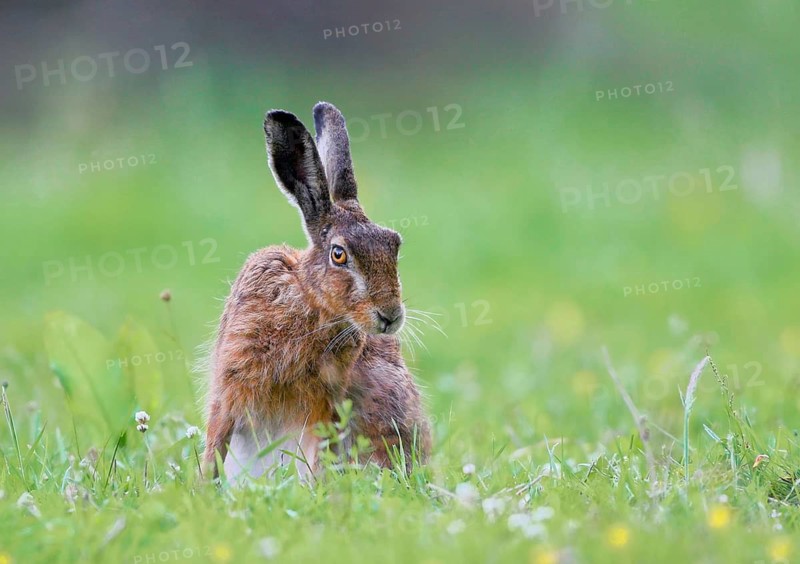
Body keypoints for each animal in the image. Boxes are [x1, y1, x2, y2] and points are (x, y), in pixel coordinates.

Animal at [203, 102, 431, 481]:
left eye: (394, 245)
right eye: (338, 254)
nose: (390, 316)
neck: (310, 303)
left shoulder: (326, 404)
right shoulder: (229, 387)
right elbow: (214, 445)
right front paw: (203, 486)